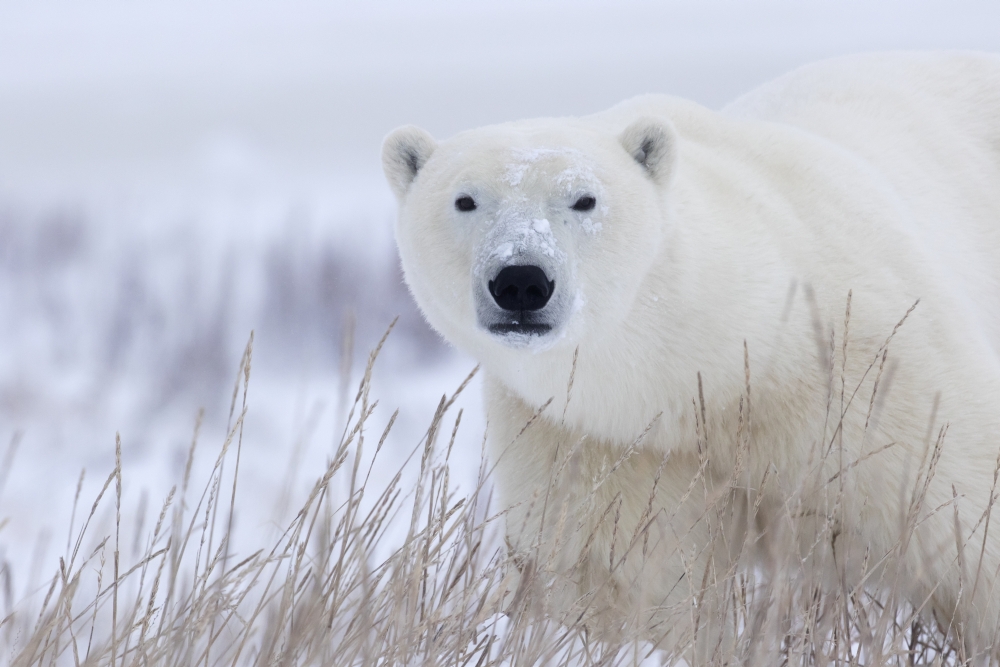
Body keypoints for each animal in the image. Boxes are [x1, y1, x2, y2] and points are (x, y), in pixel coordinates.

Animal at [382, 52, 1000, 661]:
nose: (521, 281)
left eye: (584, 199)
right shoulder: (604, 441)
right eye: (465, 200)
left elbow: (967, 530)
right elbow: (624, 581)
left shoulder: (873, 379)